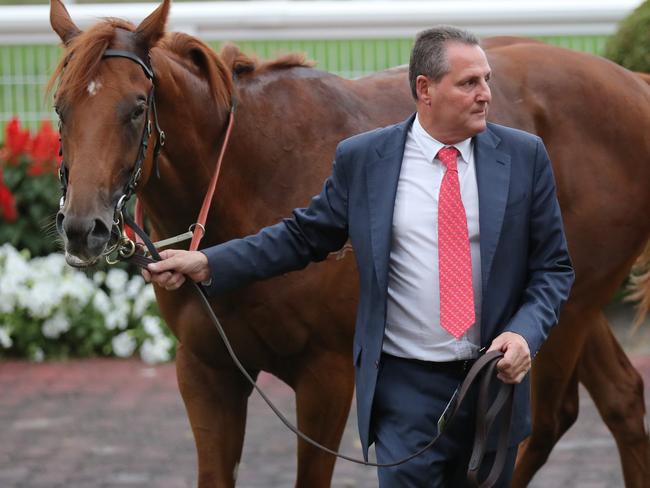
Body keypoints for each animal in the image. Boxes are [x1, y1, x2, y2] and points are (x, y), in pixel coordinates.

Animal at [50, 1, 648, 486]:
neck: (248, 178)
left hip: (568, 305)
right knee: (618, 398)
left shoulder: (327, 375)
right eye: (60, 107)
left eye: (136, 106)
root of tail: (633, 84)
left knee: (542, 421)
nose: (83, 227)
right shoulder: (205, 370)